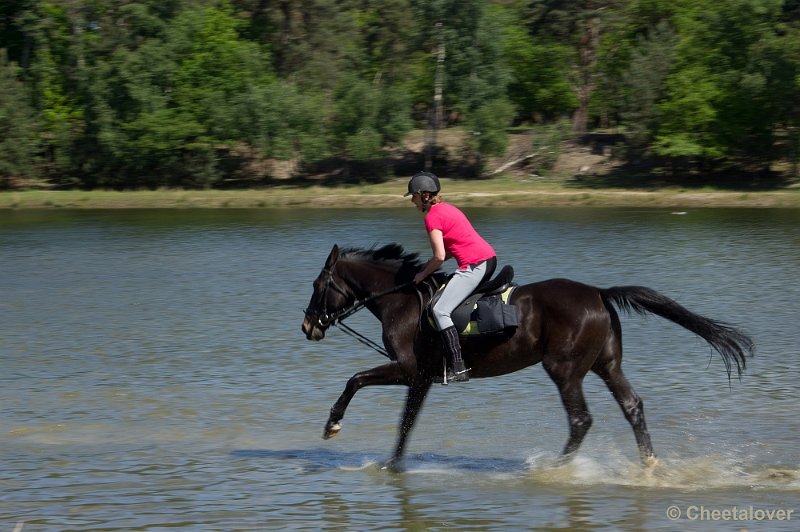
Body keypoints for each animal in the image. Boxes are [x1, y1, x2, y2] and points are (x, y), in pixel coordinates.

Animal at [302, 243, 756, 472]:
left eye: (317, 285)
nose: (308, 326)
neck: (400, 300)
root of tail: (599, 293)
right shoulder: (423, 379)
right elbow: (405, 425)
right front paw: (393, 465)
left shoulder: (408, 370)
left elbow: (356, 380)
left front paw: (331, 426)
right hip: (606, 364)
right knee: (632, 406)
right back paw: (648, 466)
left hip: (564, 368)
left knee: (581, 420)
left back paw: (555, 469)